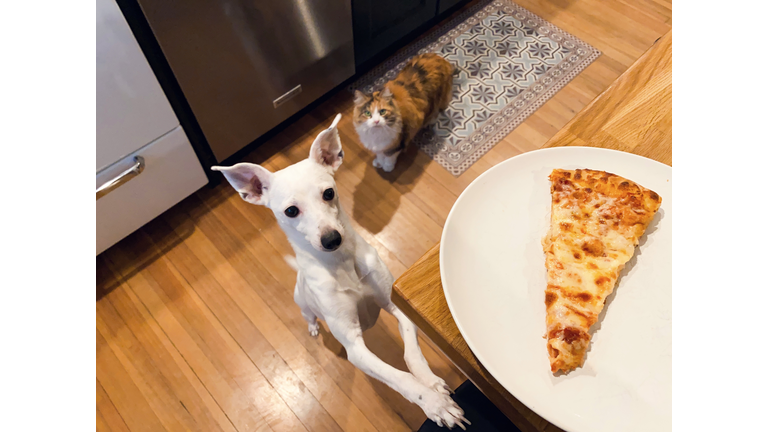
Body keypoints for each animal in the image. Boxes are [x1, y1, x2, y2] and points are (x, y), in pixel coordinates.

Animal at [213, 114, 472, 428]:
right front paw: (435, 405)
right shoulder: (354, 347)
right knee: (309, 316)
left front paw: (431, 382)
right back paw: (313, 327)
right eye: (291, 211)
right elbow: (399, 378)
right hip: (302, 303)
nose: (331, 239)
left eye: (329, 193)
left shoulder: (396, 306)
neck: (342, 264)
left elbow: (412, 354)